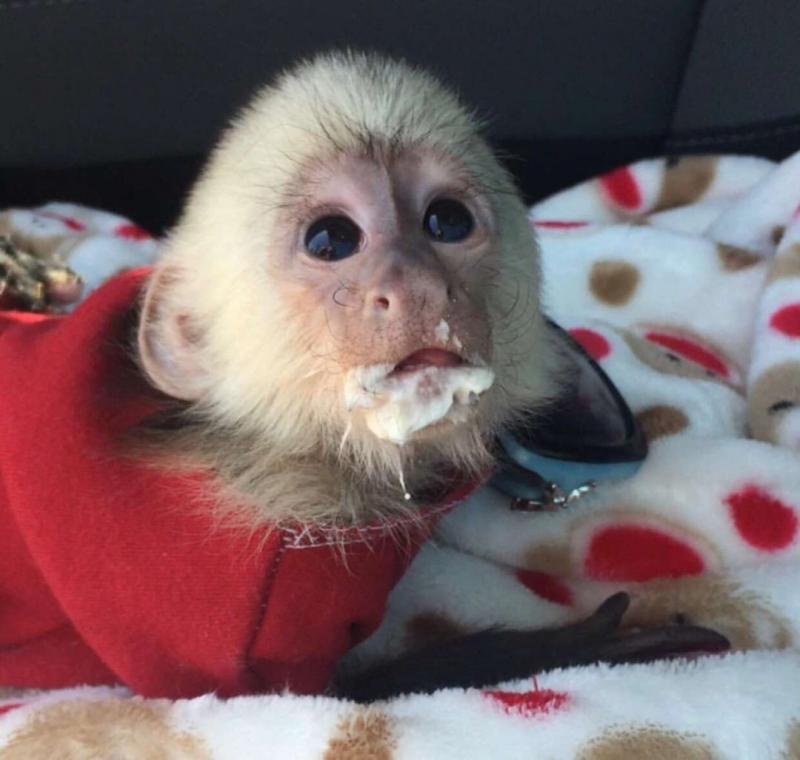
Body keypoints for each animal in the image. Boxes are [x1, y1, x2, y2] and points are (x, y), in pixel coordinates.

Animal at [0, 51, 728, 702]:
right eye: (331, 239)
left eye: (447, 221)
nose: (417, 287)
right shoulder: (225, 608)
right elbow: (308, 700)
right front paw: (581, 644)